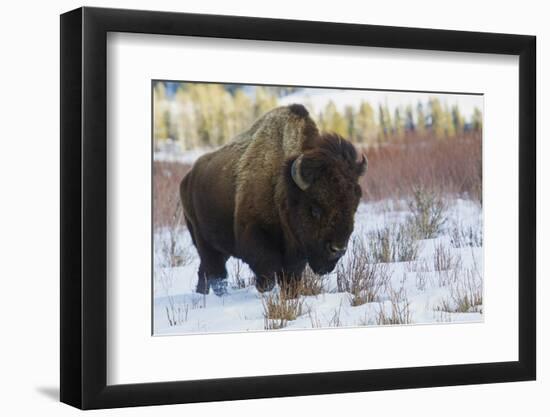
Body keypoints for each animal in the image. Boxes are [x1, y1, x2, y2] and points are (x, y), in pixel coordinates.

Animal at [181, 102, 368, 294]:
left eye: (354, 207)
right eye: (315, 208)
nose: (337, 249)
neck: (283, 183)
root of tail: (188, 177)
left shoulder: (296, 255)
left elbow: (291, 277)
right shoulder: (258, 240)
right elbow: (268, 274)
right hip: (204, 242)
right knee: (214, 271)